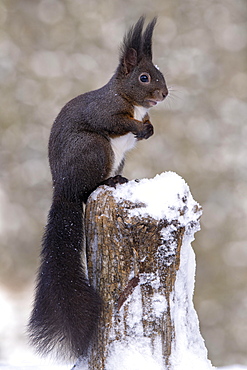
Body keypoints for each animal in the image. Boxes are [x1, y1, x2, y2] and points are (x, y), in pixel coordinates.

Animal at [28, 15, 168, 360]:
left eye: (160, 73)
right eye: (144, 77)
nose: (163, 93)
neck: (131, 101)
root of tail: (62, 189)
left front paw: (149, 129)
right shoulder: (104, 111)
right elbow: (115, 122)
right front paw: (137, 126)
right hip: (95, 149)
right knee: (88, 187)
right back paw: (109, 182)